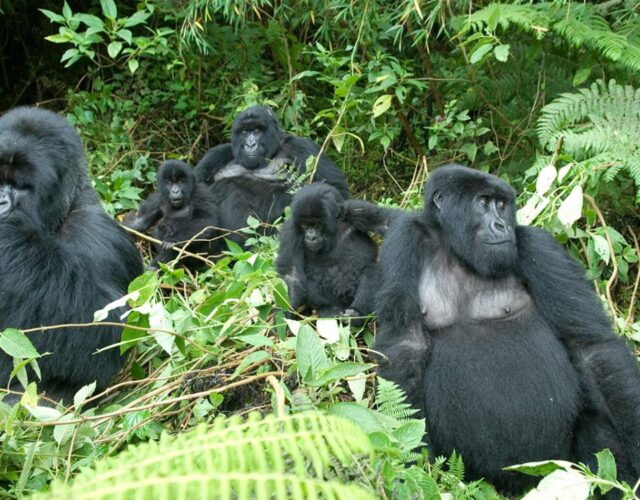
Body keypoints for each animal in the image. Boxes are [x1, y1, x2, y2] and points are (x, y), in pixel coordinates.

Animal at [276, 185, 378, 324]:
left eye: (317, 224)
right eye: (304, 225)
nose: (311, 237)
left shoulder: (355, 211)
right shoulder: (290, 230)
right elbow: (291, 273)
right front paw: (289, 310)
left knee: (372, 270)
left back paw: (356, 314)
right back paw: (330, 309)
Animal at [376, 166, 640, 494]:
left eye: (502, 205)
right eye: (483, 202)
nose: (501, 225)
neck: (456, 248)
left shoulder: (538, 244)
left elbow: (590, 347)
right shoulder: (404, 239)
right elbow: (405, 346)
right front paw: (409, 465)